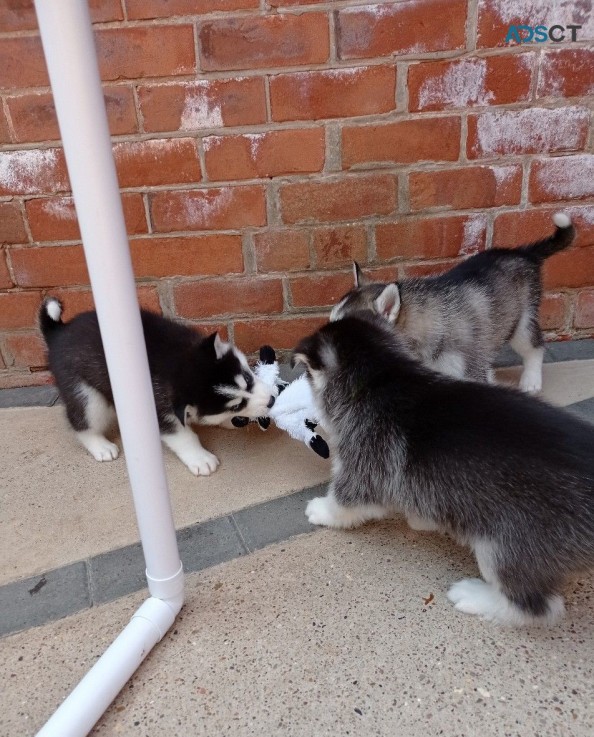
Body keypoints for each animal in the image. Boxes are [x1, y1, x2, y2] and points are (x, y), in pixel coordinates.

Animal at [39, 300, 276, 478]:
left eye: (248, 377)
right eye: (236, 405)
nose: (272, 401)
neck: (177, 365)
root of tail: (59, 333)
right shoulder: (160, 410)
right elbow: (183, 436)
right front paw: (200, 457)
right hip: (86, 393)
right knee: (82, 420)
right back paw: (99, 445)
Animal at [294, 314, 592, 624]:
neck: (380, 379)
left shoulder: (363, 468)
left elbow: (344, 501)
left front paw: (321, 510)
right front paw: (422, 520)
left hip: (505, 548)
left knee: (535, 608)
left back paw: (475, 596)